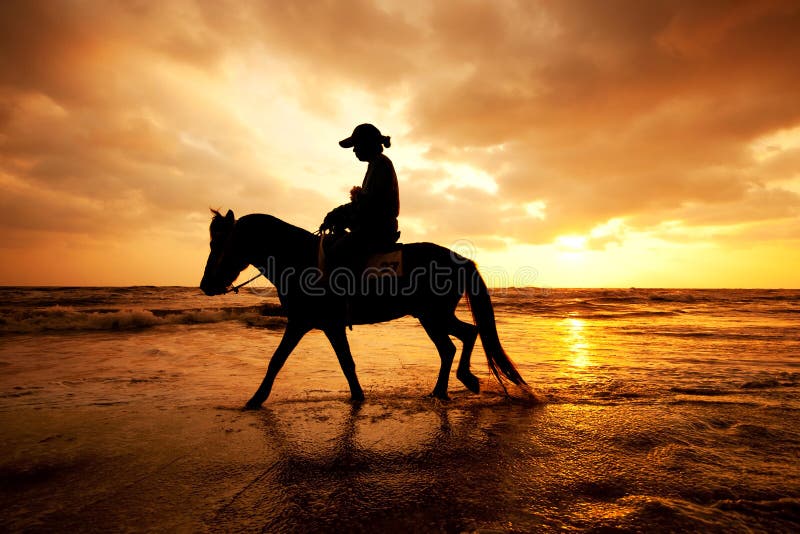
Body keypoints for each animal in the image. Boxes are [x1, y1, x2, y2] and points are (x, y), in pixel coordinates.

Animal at [200, 210, 528, 410]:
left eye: (218, 244)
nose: (205, 284)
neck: (298, 259)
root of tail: (460, 259)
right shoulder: (322, 325)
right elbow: (345, 363)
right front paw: (358, 396)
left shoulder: (304, 323)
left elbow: (278, 361)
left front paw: (255, 399)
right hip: (430, 316)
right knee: (456, 342)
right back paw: (442, 389)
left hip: (433, 315)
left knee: (462, 338)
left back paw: (463, 380)